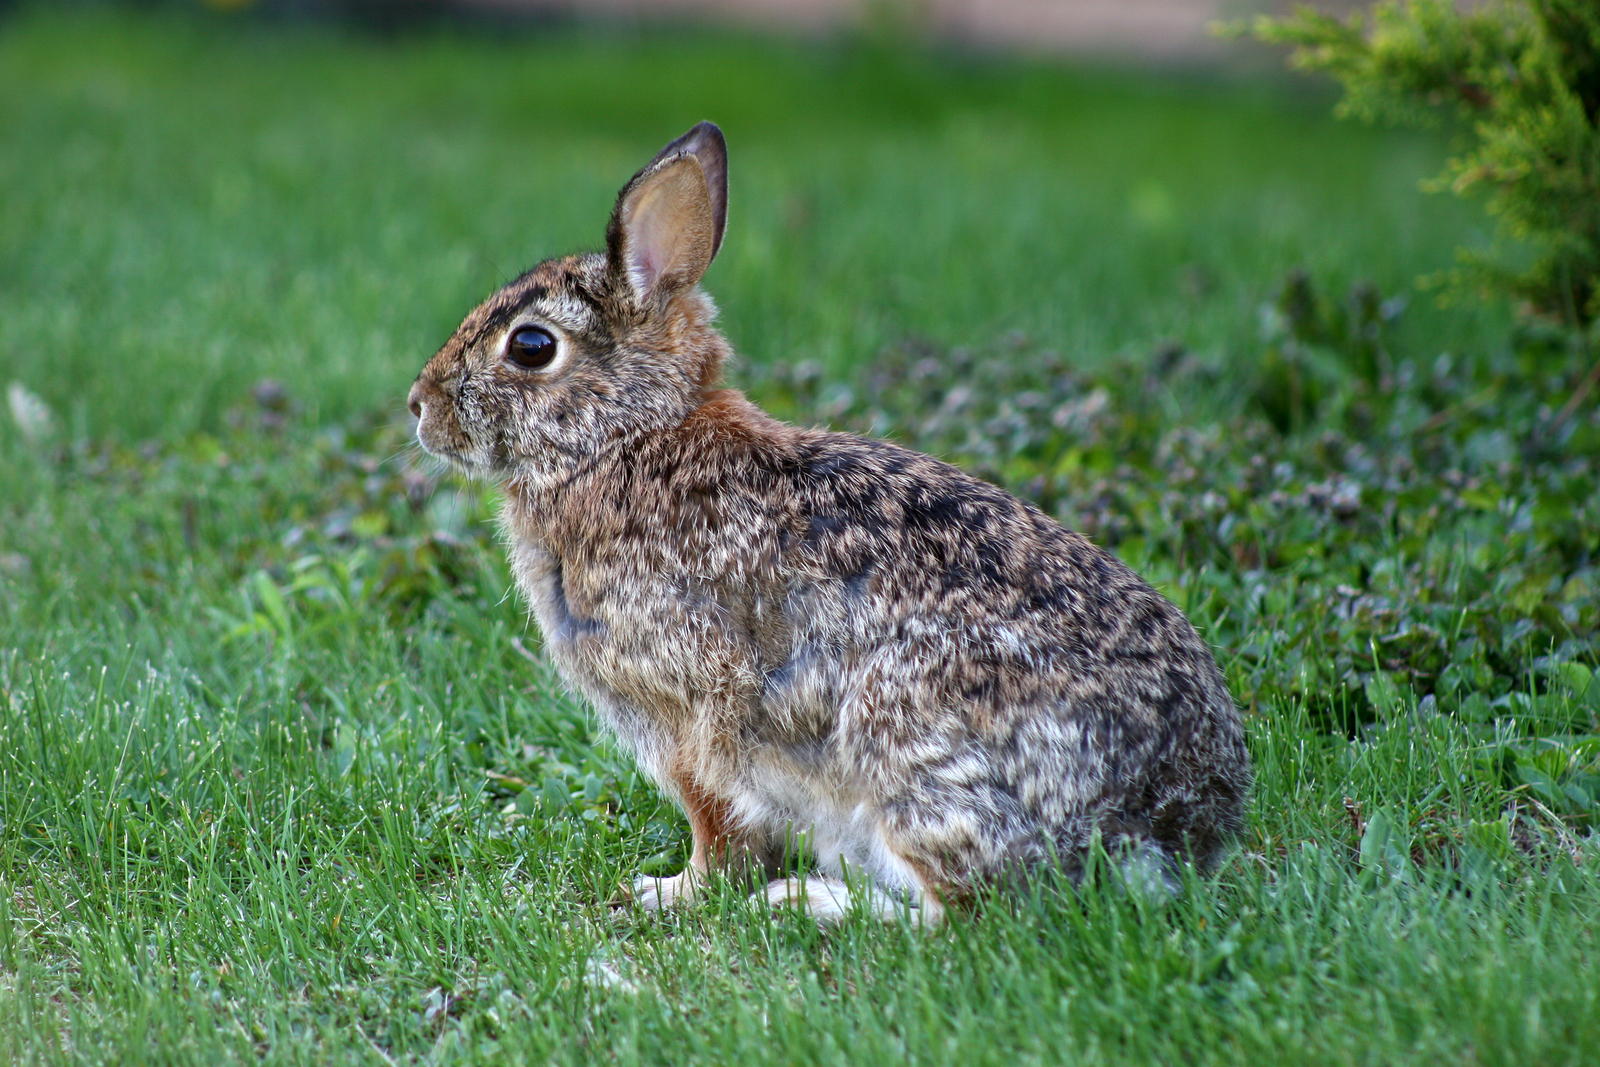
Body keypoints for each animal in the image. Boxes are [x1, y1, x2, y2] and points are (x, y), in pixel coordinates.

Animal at [407, 122, 1250, 925]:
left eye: (531, 346)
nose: (420, 405)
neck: (625, 439)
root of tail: (1166, 825)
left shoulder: (693, 717)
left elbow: (717, 827)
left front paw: (672, 890)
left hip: (906, 748)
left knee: (967, 907)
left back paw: (806, 901)